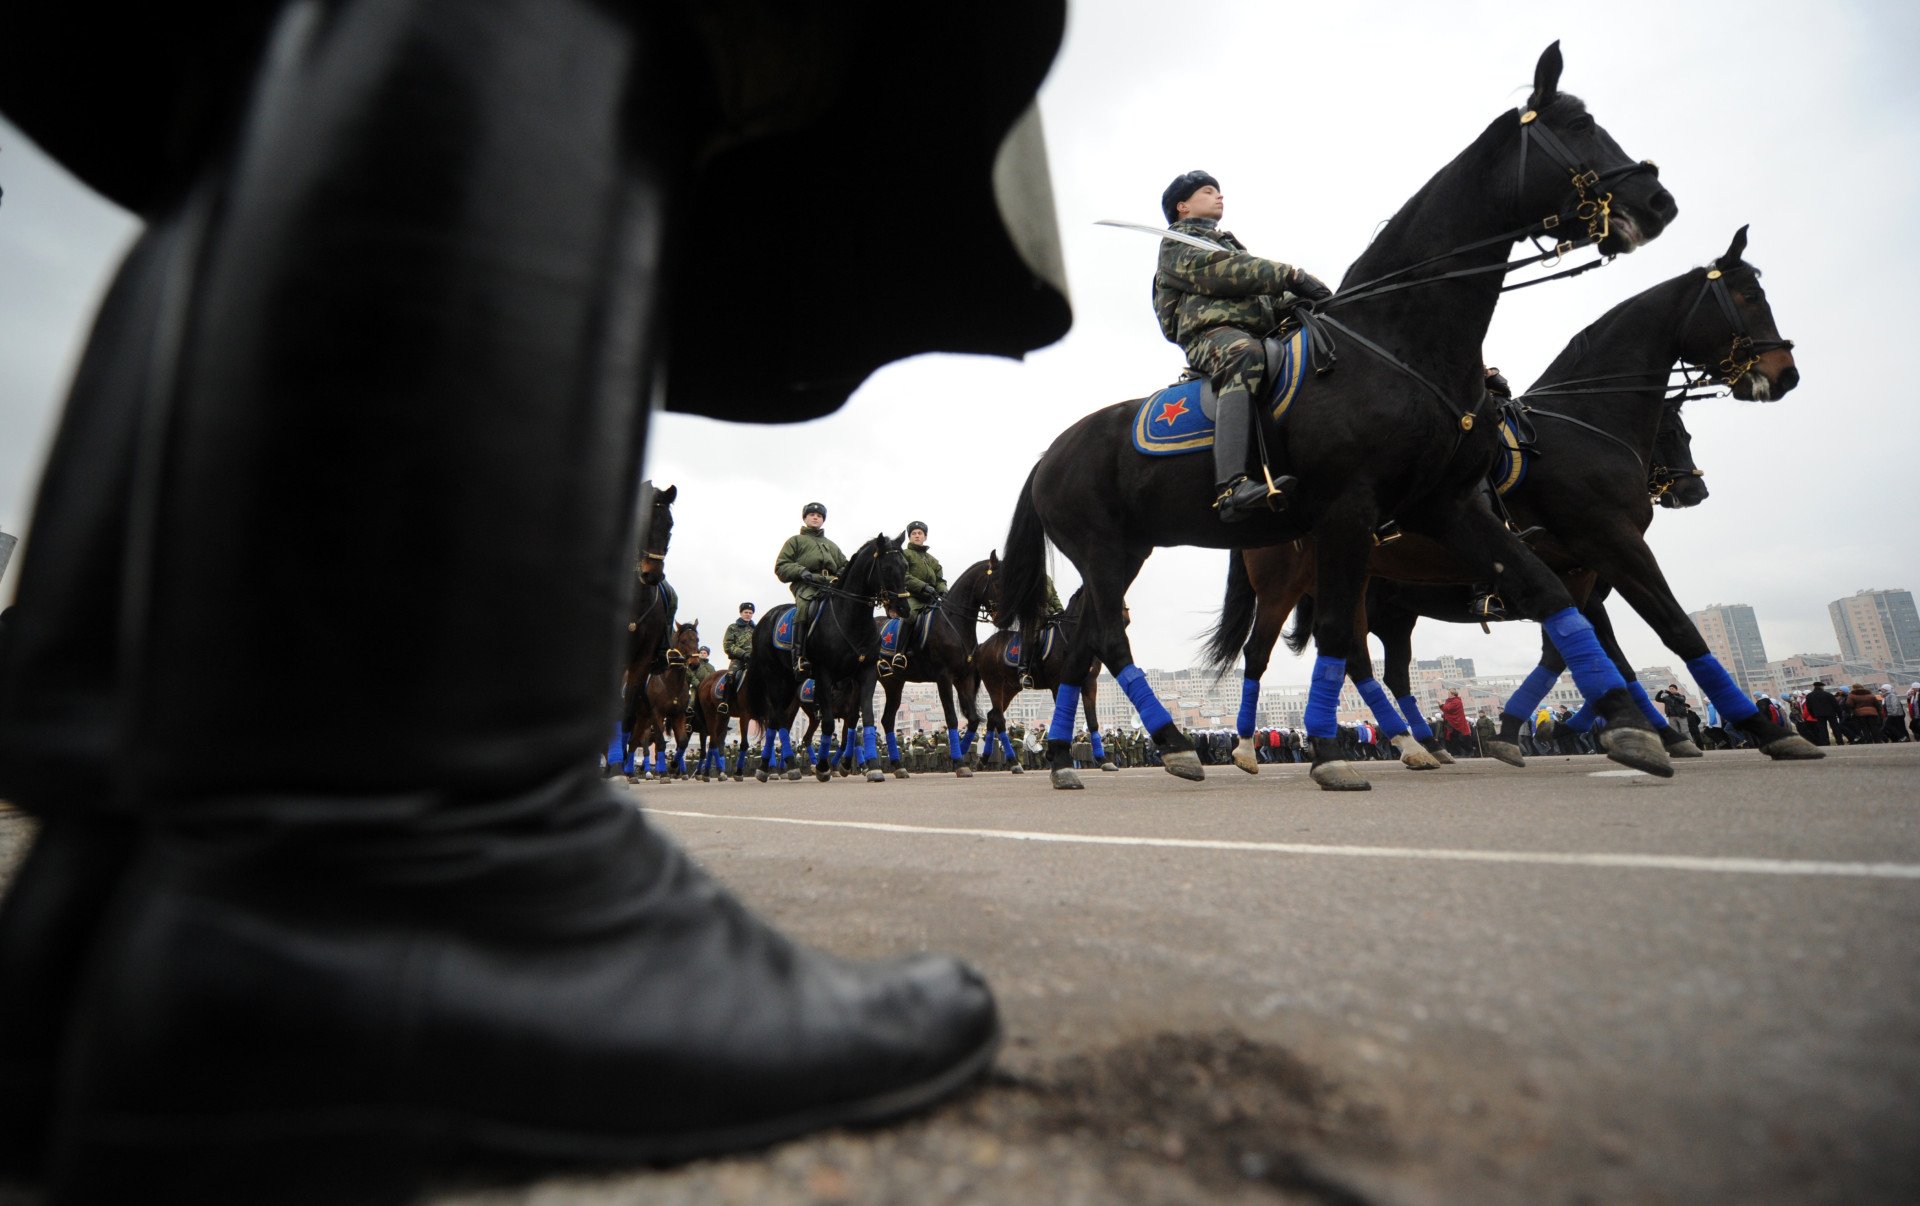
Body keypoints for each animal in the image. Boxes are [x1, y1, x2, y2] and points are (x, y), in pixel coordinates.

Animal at [626, 620, 699, 780]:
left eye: (697, 639)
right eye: (683, 641)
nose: (695, 664)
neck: (669, 682)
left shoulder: (678, 715)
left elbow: (682, 742)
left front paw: (673, 766)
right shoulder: (656, 714)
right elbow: (659, 743)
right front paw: (663, 772)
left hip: (641, 718)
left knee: (632, 742)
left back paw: (630, 772)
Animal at [746, 533, 909, 783]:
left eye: (905, 566)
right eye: (887, 567)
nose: (903, 607)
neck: (850, 620)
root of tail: (764, 620)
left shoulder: (866, 674)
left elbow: (867, 718)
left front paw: (873, 766)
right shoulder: (824, 675)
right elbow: (830, 723)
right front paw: (823, 767)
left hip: (790, 683)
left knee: (775, 720)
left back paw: (766, 767)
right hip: (774, 678)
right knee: (780, 718)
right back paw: (789, 765)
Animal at [874, 556, 998, 777]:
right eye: (998, 579)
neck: (954, 624)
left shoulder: (964, 679)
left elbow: (973, 719)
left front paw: (961, 755)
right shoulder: (944, 678)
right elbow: (951, 717)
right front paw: (958, 760)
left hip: (894, 683)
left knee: (887, 720)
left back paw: (897, 766)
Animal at [999, 43, 1679, 791]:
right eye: (1580, 123)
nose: (1658, 201)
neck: (1396, 340)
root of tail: (1049, 453)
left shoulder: (1449, 506)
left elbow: (1543, 589)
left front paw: (1630, 726)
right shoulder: (1347, 508)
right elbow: (1335, 633)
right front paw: (1328, 749)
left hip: (1124, 552)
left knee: (1088, 644)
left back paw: (1071, 757)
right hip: (1105, 551)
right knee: (1111, 640)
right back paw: (1173, 744)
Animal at [1203, 228, 1817, 773]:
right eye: (1750, 297)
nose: (1785, 372)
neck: (1582, 429)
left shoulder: (1580, 574)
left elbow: (1575, 651)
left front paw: (1559, 727)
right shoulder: (1609, 546)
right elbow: (1669, 630)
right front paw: (1741, 730)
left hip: (1372, 594)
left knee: (1367, 661)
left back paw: (1419, 745)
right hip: (1291, 584)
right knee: (1266, 652)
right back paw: (1253, 748)